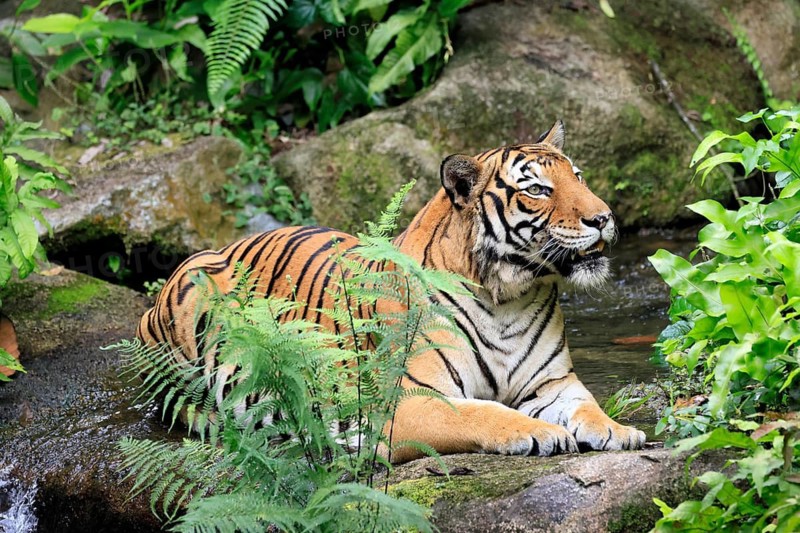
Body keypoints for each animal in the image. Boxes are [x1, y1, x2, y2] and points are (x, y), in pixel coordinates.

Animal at [137, 120, 646, 463]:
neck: (509, 296)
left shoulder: (554, 383)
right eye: (538, 190)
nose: (603, 217)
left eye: (577, 177)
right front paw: (538, 433)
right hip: (191, 306)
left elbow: (587, 407)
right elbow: (479, 414)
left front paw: (620, 430)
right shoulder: (408, 399)